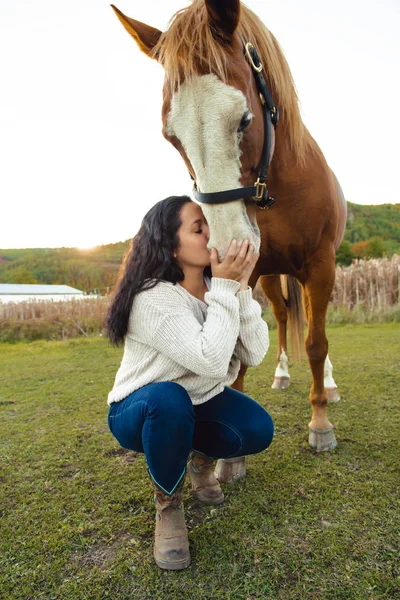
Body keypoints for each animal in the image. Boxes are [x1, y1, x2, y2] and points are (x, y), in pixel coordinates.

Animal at [110, 0, 346, 480]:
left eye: (244, 119)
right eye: (171, 137)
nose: (224, 245)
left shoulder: (320, 267)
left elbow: (316, 344)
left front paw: (320, 425)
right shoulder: (250, 275)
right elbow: (236, 356)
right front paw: (229, 459)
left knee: (316, 331)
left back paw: (329, 386)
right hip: (273, 279)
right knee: (283, 318)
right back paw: (282, 375)